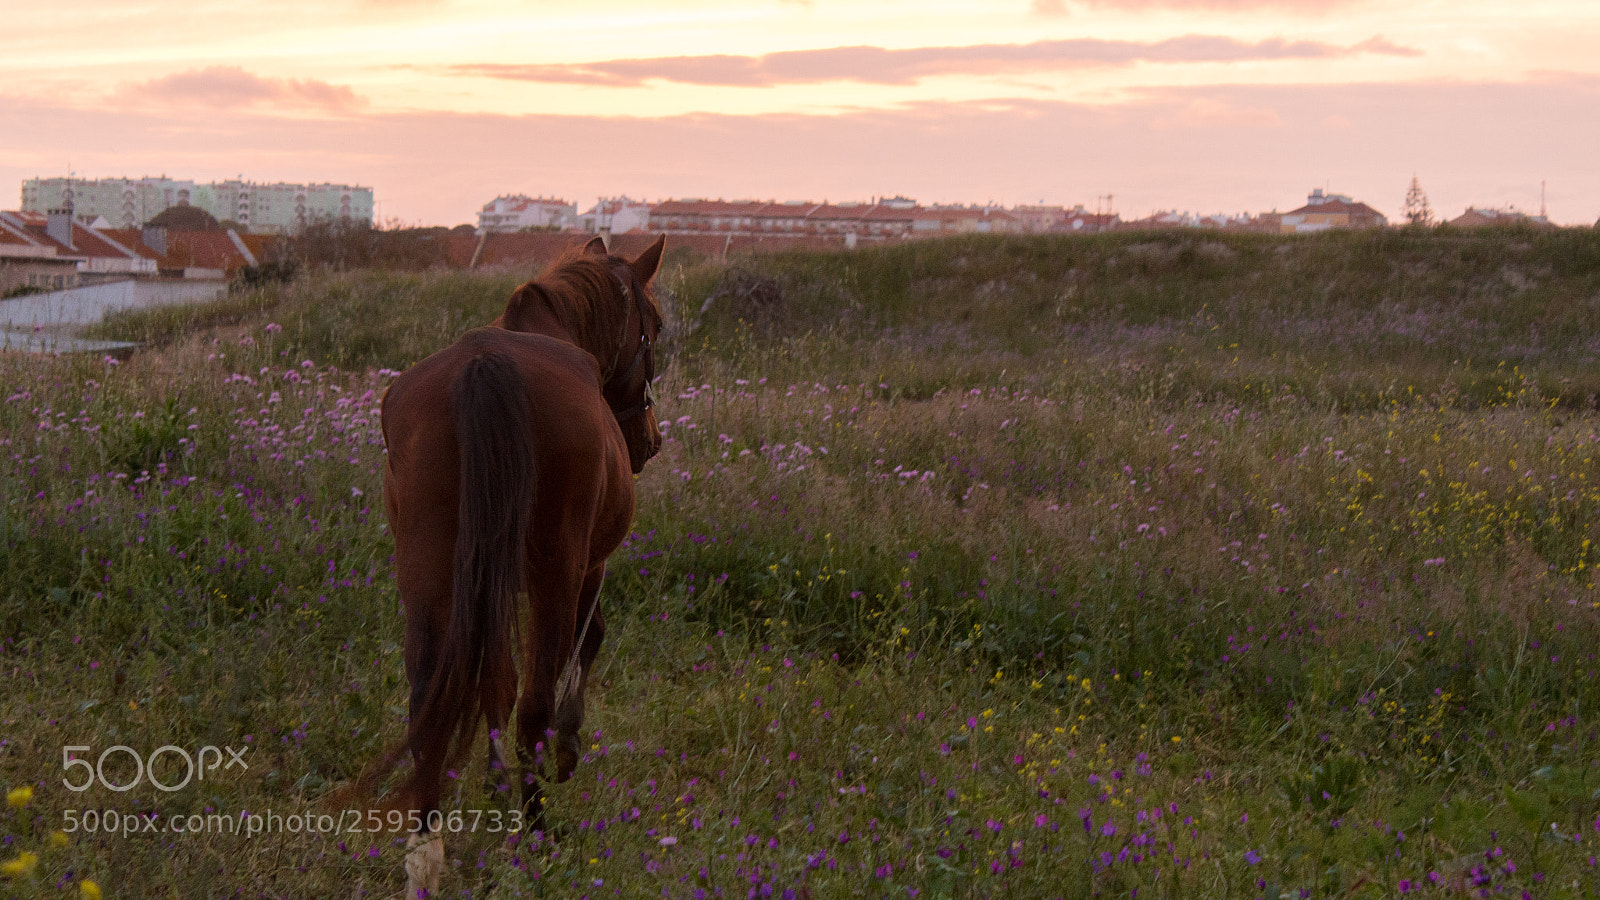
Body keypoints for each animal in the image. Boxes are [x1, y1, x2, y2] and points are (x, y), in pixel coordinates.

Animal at [373, 235, 664, 897]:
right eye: (656, 329)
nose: (650, 441)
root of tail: (484, 369)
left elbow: (494, 679)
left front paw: (495, 777)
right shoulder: (586, 566)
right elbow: (586, 643)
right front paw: (568, 747)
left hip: (429, 572)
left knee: (433, 696)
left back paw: (427, 846)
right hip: (555, 567)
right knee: (533, 702)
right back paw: (535, 829)